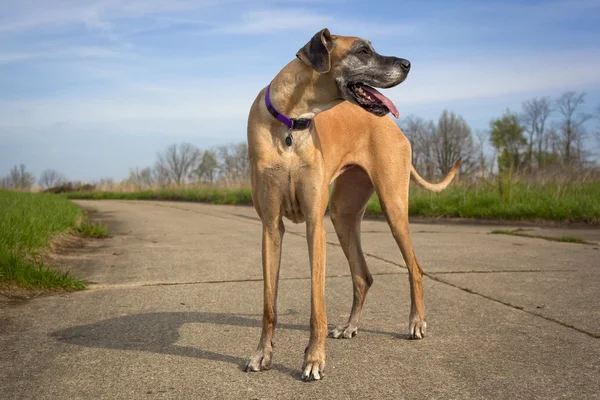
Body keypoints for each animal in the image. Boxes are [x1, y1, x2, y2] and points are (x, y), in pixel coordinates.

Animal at [244, 28, 460, 382]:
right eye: (362, 51)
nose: (408, 63)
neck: (290, 123)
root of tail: (395, 128)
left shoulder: (314, 225)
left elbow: (317, 304)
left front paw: (314, 360)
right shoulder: (271, 227)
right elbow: (268, 304)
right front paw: (262, 354)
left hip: (393, 206)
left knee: (414, 268)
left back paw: (416, 323)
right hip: (343, 216)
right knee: (363, 275)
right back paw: (349, 326)